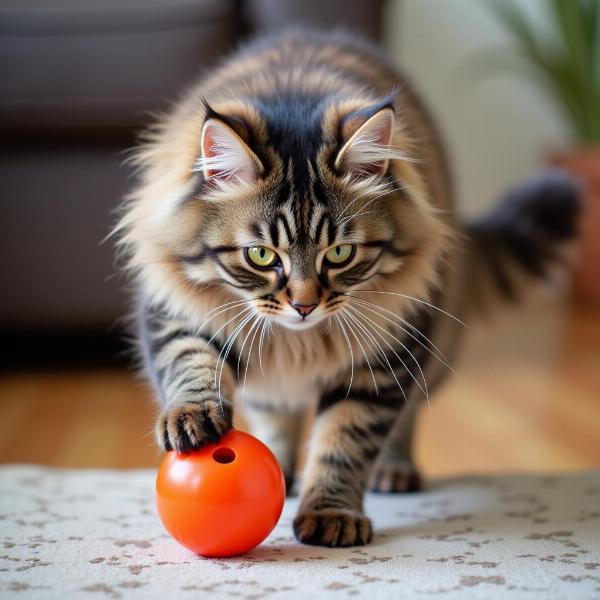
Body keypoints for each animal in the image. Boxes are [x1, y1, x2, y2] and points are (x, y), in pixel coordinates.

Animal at [115, 28, 580, 548]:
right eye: (261, 256)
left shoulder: (382, 365)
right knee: (276, 415)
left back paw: (393, 472)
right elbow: (192, 366)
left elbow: (344, 443)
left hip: (429, 347)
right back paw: (282, 469)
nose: (303, 306)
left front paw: (330, 514)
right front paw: (193, 421)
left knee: (407, 419)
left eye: (339, 254)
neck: (296, 342)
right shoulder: (180, 315)